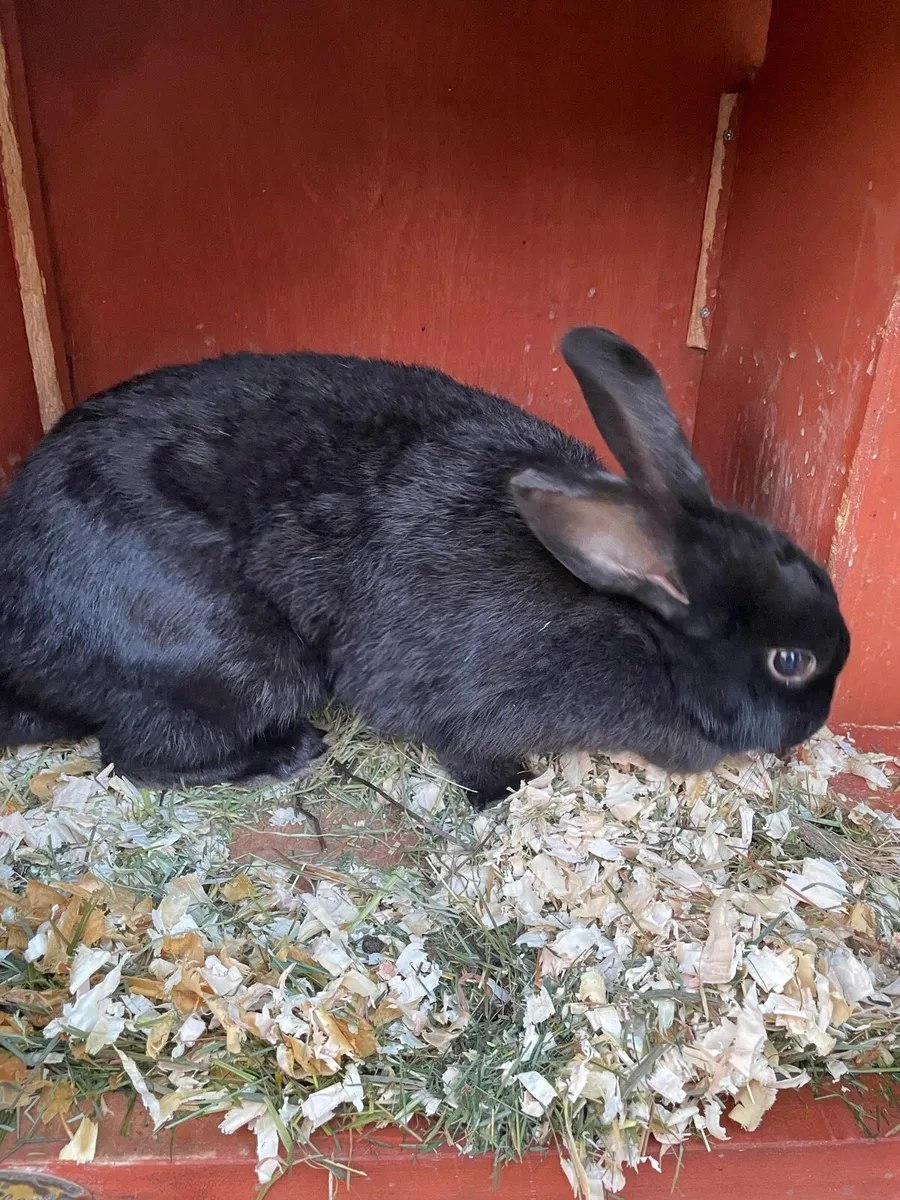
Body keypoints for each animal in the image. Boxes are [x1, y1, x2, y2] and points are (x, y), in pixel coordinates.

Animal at [0, 327, 849, 807]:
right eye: (791, 661)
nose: (814, 725)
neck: (639, 627)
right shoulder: (469, 704)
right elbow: (468, 752)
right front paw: (510, 791)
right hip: (237, 666)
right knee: (133, 756)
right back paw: (288, 755)